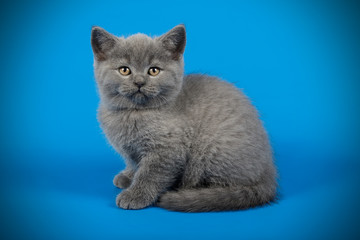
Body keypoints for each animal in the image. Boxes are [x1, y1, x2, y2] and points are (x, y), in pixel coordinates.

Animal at [90, 24, 278, 212]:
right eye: (124, 70)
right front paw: (128, 176)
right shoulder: (129, 150)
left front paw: (136, 195)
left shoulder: (167, 149)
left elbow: (151, 174)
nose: (139, 82)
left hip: (212, 149)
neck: (134, 113)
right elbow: (133, 162)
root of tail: (268, 173)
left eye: (154, 70)